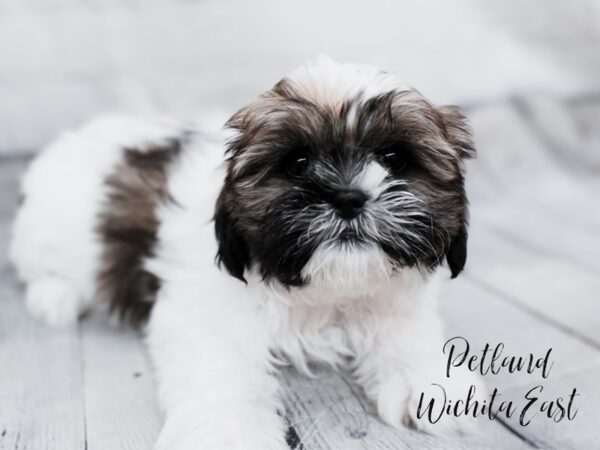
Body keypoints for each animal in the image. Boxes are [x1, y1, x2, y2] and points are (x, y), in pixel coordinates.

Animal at [10, 57, 482, 450]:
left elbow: (406, 332)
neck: (325, 293)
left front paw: (427, 380)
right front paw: (226, 433)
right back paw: (56, 296)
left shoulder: (397, 298)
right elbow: (219, 370)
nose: (348, 197)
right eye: (297, 163)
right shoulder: (204, 315)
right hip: (49, 233)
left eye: (393, 157)